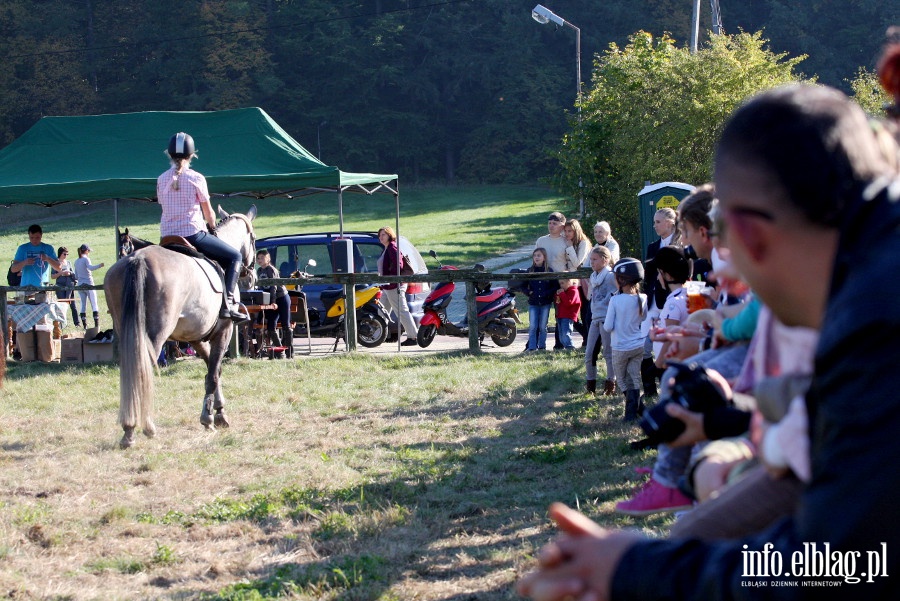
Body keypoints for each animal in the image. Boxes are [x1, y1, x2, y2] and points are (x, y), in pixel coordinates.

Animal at [107, 205, 260, 446]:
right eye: (253, 239)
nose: (250, 277)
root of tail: (138, 260)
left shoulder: (195, 337)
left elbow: (214, 370)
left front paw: (216, 413)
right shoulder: (224, 331)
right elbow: (213, 375)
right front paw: (211, 417)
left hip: (127, 333)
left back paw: (129, 426)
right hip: (154, 336)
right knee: (144, 372)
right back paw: (143, 427)